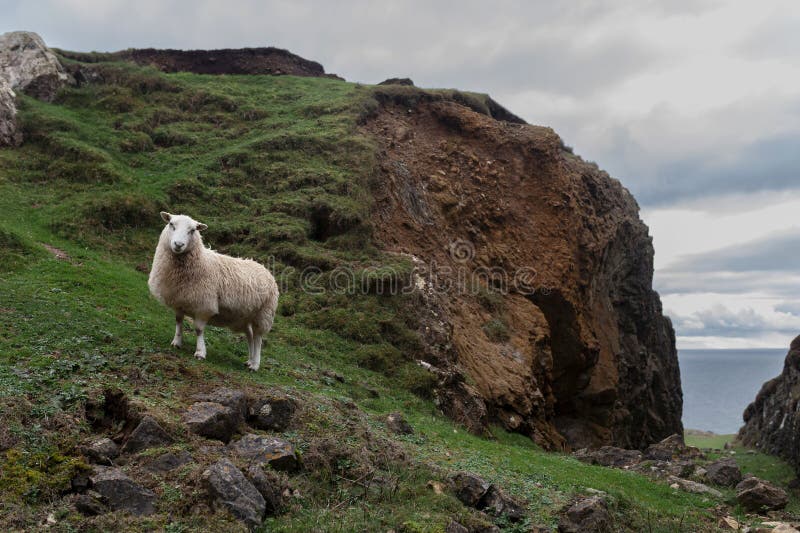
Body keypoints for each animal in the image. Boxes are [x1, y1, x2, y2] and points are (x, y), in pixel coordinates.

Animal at [148, 212, 279, 371]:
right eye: (171, 224)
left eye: (193, 230)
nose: (178, 244)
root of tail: (265, 269)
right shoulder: (179, 301)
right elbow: (178, 321)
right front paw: (177, 342)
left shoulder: (204, 304)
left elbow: (198, 329)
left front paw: (200, 352)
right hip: (245, 316)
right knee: (250, 336)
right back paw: (249, 360)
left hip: (263, 314)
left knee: (258, 339)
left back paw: (254, 364)